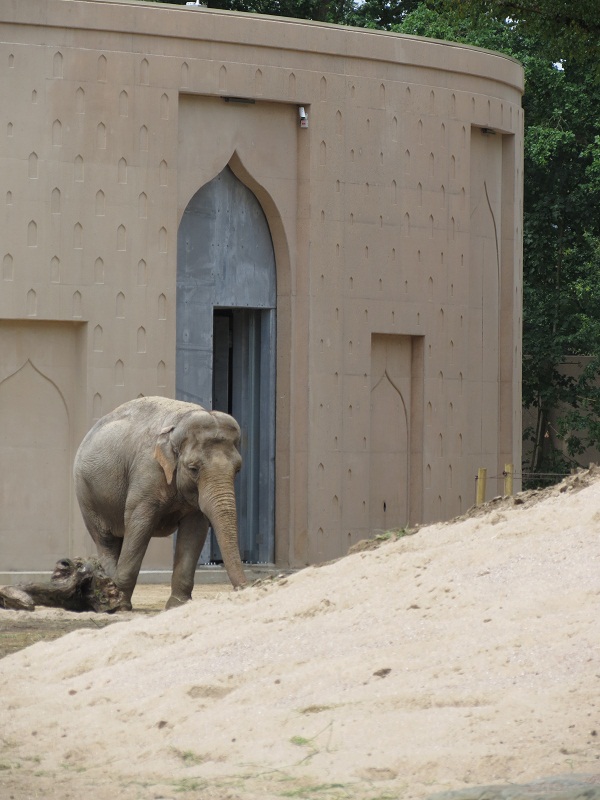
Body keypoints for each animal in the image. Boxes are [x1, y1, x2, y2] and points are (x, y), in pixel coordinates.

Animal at [73, 396, 247, 610]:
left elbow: (194, 531)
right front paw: (121, 605)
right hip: (86, 494)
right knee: (106, 541)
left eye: (238, 469)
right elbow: (139, 525)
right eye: (193, 468)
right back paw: (108, 597)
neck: (180, 423)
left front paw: (177, 605)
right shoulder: (147, 472)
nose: (245, 589)